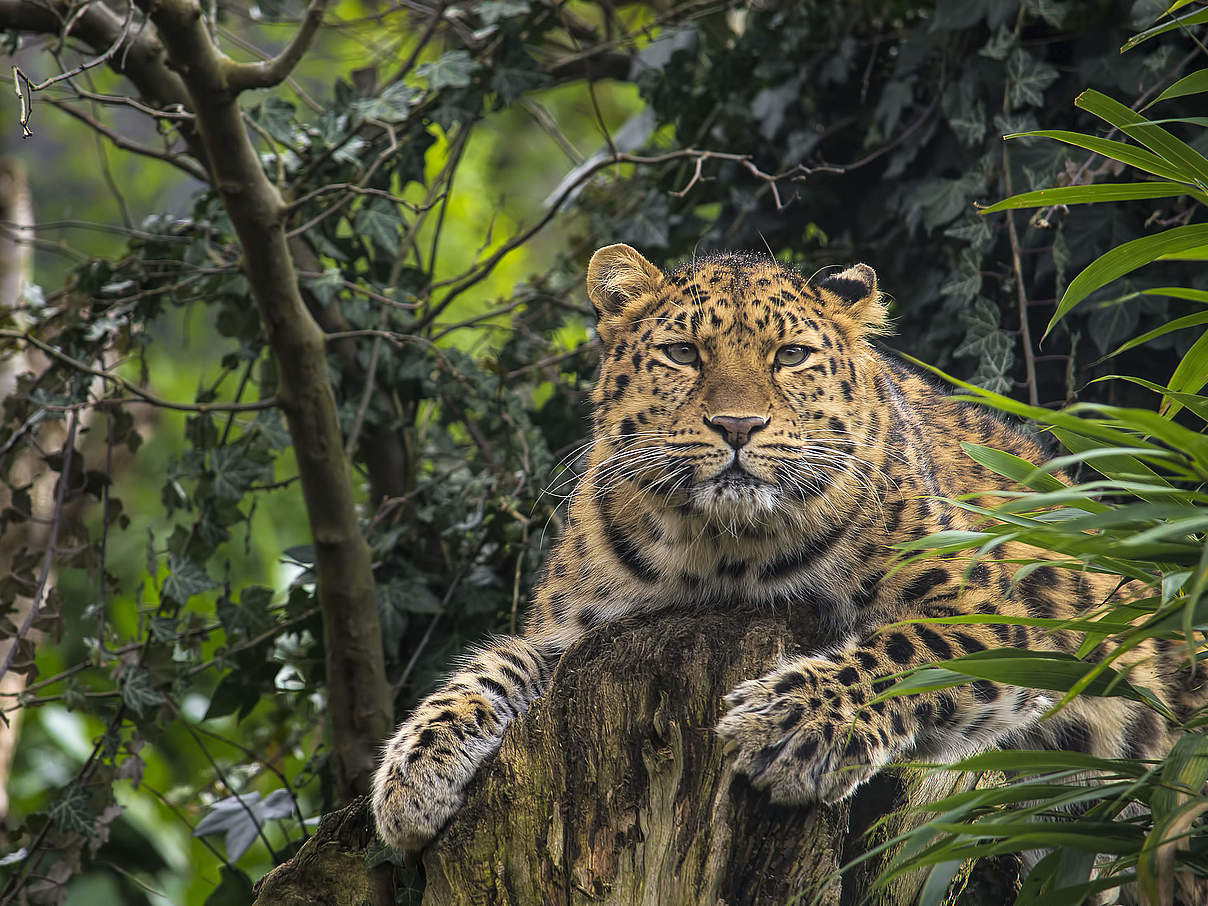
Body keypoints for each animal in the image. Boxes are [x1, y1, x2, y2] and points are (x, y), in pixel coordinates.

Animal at [369, 241, 1198, 860]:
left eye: (791, 355)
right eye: (682, 352)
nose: (737, 426)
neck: (720, 548)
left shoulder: (997, 613)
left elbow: (902, 650)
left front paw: (793, 724)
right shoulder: (575, 637)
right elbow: (490, 667)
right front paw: (412, 774)